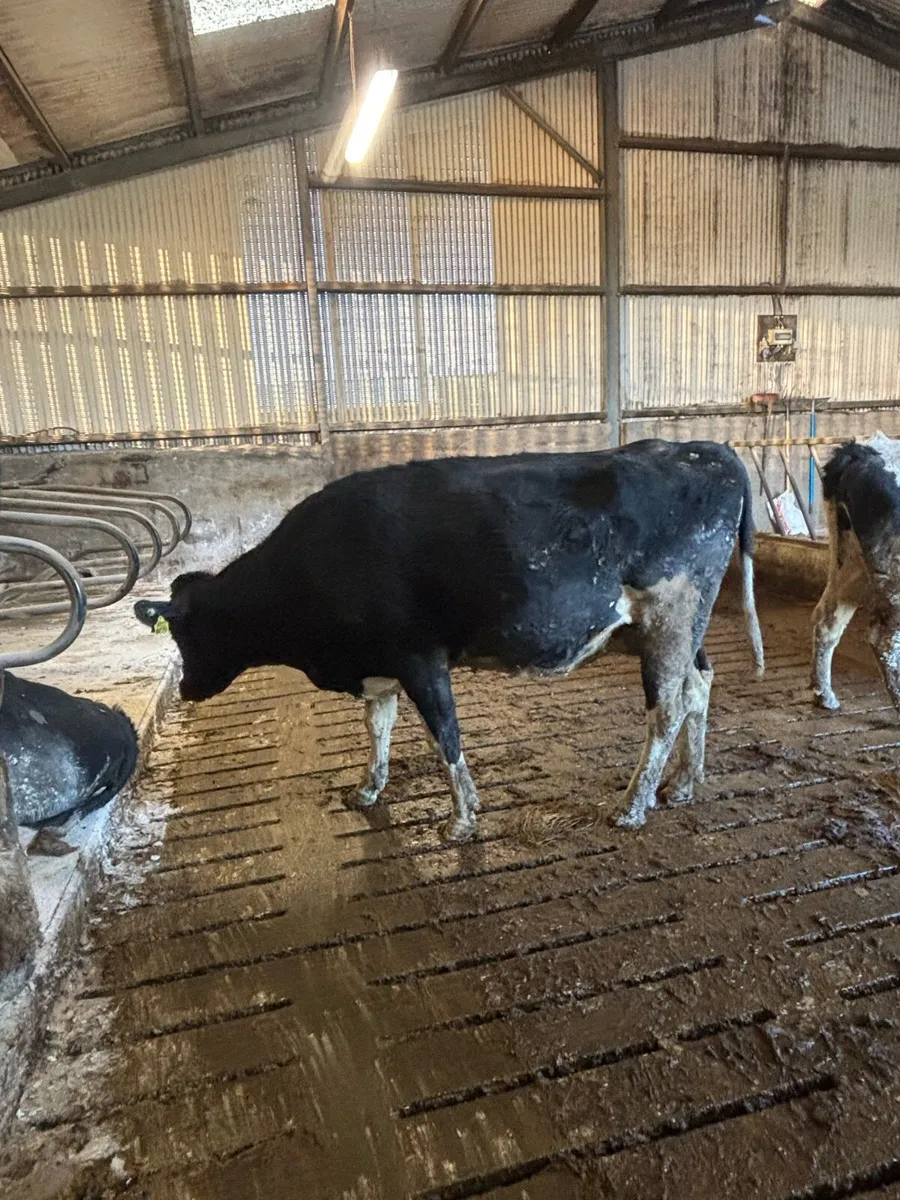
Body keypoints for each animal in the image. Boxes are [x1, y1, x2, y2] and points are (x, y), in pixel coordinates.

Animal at [135, 440, 764, 841]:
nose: (187, 690)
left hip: (669, 619)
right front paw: (368, 789)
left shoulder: (419, 658)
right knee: (699, 688)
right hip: (680, 628)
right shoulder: (380, 665)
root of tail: (703, 448)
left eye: (187, 630)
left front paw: (462, 819)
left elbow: (446, 739)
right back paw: (685, 783)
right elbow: (378, 728)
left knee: (668, 710)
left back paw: (634, 806)